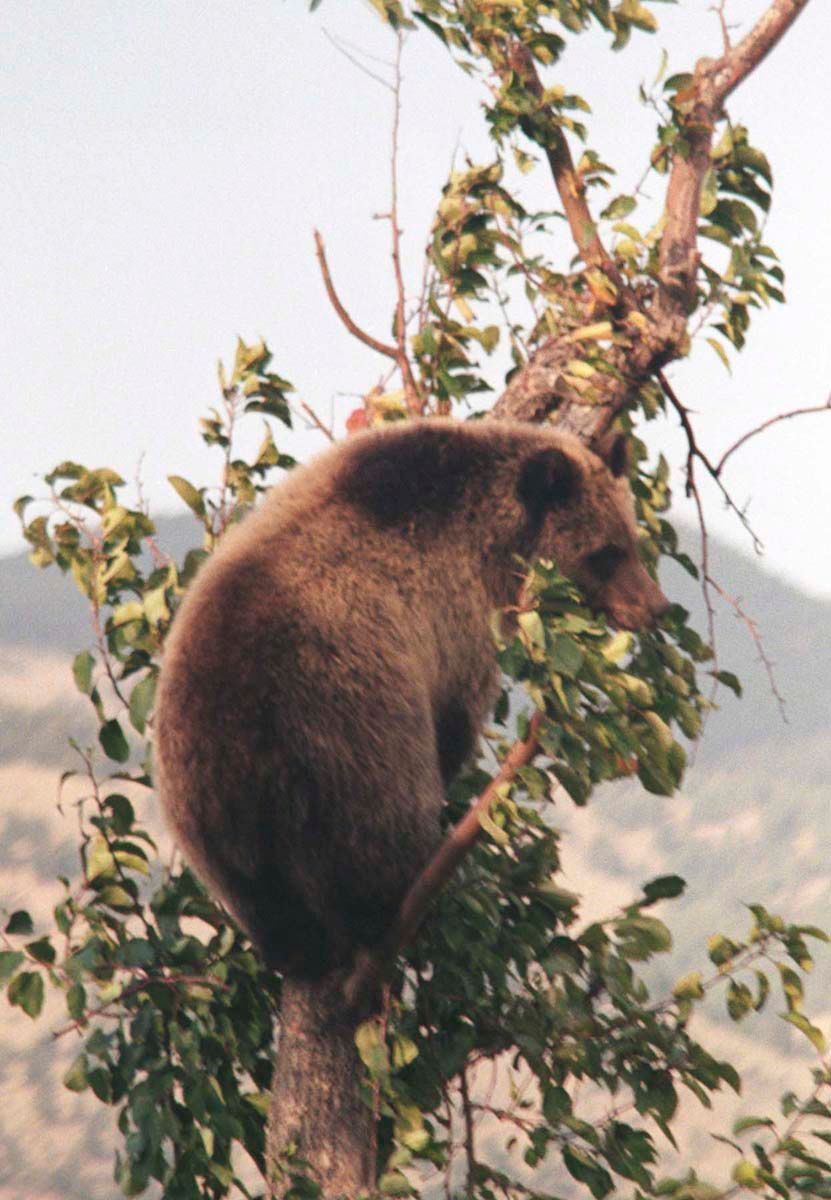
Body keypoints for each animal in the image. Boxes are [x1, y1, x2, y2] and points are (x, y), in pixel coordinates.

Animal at [154, 418, 668, 978]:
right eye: (605, 553)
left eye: (632, 540)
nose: (655, 606)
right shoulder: (453, 625)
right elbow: (456, 718)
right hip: (348, 737)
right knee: (376, 831)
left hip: (205, 808)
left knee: (261, 898)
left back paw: (297, 950)